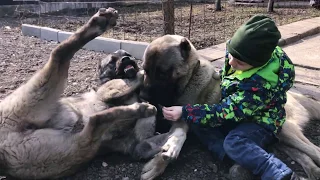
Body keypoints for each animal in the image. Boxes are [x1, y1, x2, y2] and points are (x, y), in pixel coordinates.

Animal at [141, 34, 320, 180]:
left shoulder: (184, 116)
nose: (144, 97)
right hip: (281, 139)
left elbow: (178, 132)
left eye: (162, 73)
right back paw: (312, 171)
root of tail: (293, 95)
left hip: (286, 130)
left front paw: (159, 162)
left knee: (314, 150)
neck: (191, 77)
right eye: (145, 70)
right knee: (301, 154)